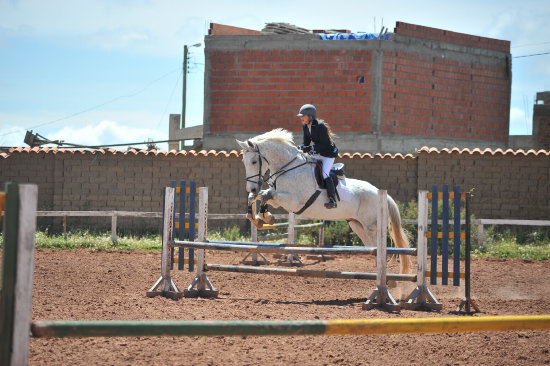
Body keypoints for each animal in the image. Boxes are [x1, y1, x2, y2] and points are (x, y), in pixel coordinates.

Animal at [235, 127, 412, 274]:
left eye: (254, 161)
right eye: (243, 162)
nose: (251, 188)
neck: (288, 168)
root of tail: (382, 194)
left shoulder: (293, 201)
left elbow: (267, 195)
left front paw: (264, 217)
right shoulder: (280, 199)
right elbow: (260, 196)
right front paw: (257, 217)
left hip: (371, 227)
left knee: (381, 248)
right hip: (358, 226)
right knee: (374, 247)